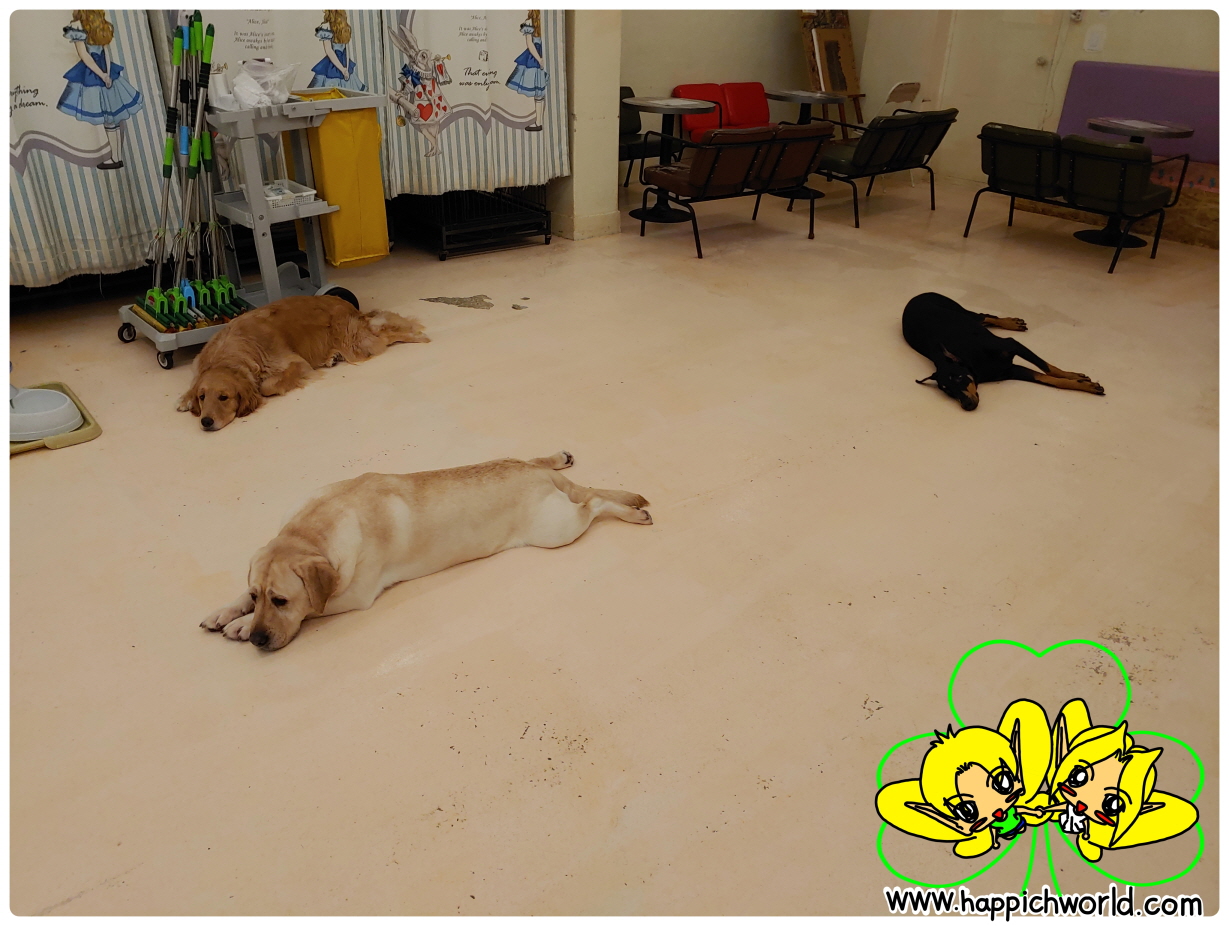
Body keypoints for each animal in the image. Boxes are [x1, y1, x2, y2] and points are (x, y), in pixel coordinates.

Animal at [177, 295, 429, 431]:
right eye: (202, 396)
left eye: (224, 397)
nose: (206, 421)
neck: (230, 353)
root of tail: (347, 304)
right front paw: (185, 399)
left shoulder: (294, 363)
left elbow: (266, 386)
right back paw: (332, 357)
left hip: (356, 341)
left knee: (390, 329)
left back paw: (417, 335)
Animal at [200, 452, 652, 651]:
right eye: (257, 595)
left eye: (281, 600)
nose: (259, 639)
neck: (312, 529)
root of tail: (541, 476)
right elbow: (237, 596)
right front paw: (227, 612)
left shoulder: (354, 595)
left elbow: (313, 607)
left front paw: (241, 626)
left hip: (556, 529)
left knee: (595, 502)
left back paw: (633, 512)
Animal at [902, 292, 1104, 410]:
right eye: (947, 391)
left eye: (958, 378)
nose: (967, 405)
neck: (974, 362)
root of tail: (915, 297)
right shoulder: (1011, 371)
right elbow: (1050, 380)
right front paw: (1084, 385)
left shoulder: (1012, 345)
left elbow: (1048, 368)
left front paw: (1074, 376)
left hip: (962, 311)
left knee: (984, 316)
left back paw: (1012, 323)